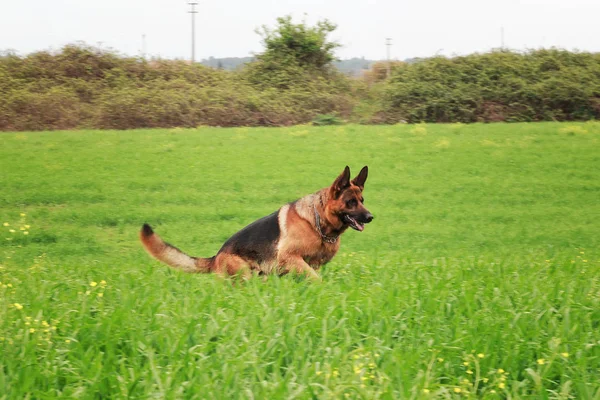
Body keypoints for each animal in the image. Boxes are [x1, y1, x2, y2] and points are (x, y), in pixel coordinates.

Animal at [142, 165, 372, 278]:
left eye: (362, 200)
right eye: (351, 202)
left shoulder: (308, 264)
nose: (371, 217)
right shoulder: (290, 258)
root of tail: (216, 256)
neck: (318, 224)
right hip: (244, 273)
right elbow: (315, 278)